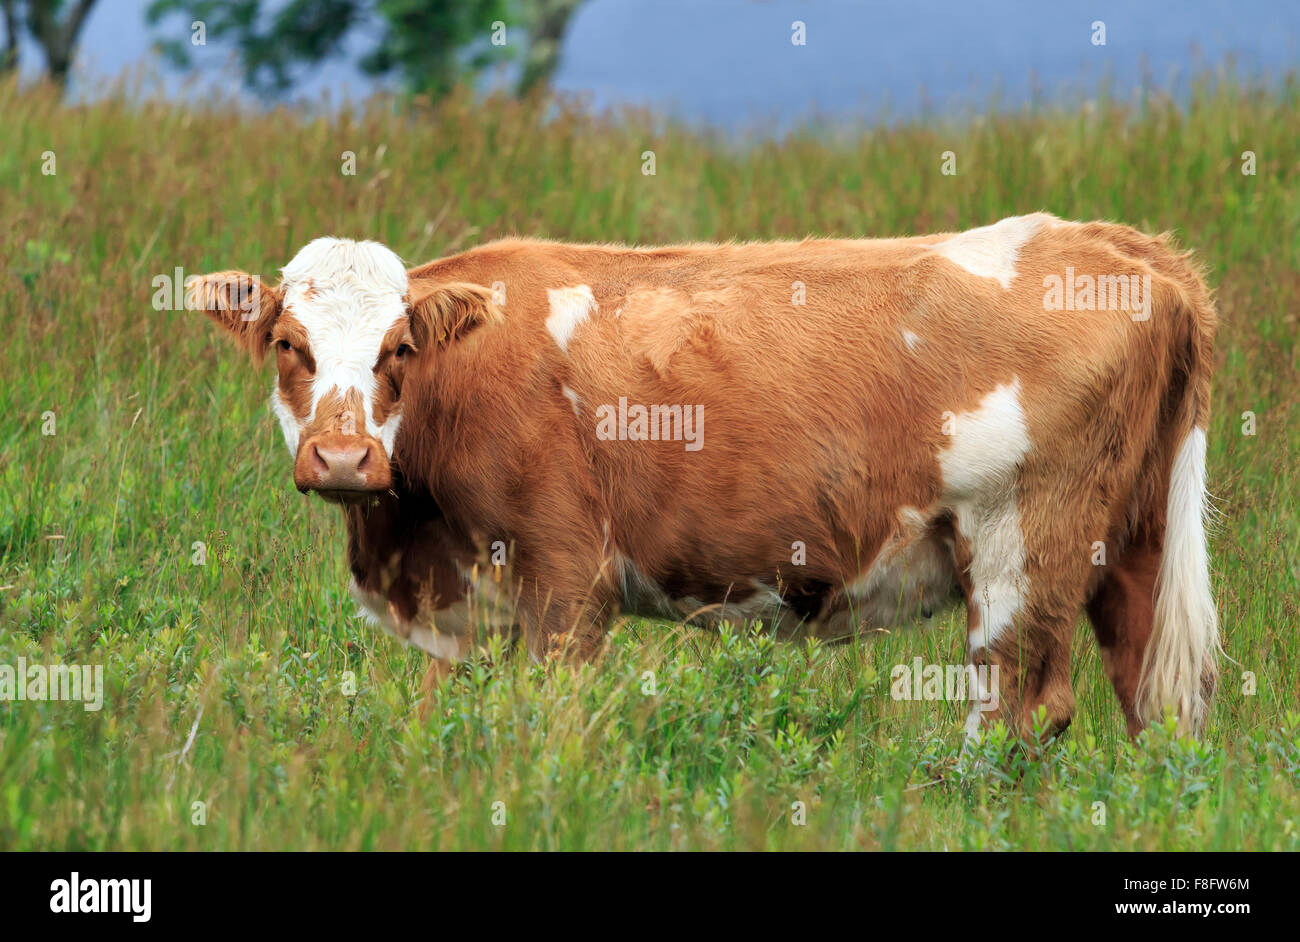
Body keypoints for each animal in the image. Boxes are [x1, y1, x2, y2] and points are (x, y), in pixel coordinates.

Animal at [188, 213, 1219, 741]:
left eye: (399, 346)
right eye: (287, 343)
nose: (344, 458)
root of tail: (1127, 248)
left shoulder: (568, 576)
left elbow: (555, 718)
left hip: (1020, 542)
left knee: (1019, 708)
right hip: (1130, 543)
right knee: (1151, 697)